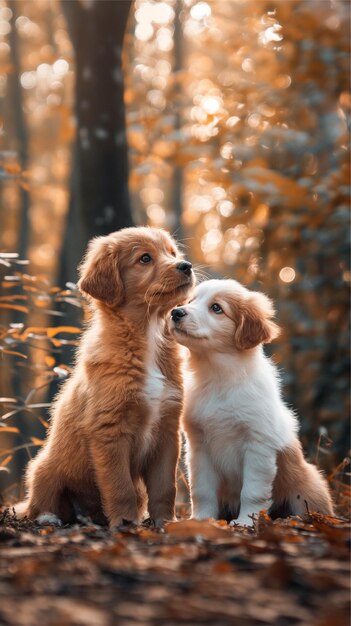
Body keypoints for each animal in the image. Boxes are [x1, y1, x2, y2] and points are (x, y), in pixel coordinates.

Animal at [17, 225, 195, 528]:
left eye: (172, 253)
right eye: (145, 258)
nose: (186, 265)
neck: (148, 334)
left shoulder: (168, 431)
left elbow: (165, 488)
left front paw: (164, 523)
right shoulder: (110, 432)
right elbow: (120, 487)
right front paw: (126, 525)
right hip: (42, 468)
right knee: (39, 501)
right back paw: (49, 518)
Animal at [172, 278, 334, 520]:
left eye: (216, 308)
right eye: (191, 301)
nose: (176, 312)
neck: (218, 377)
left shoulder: (258, 444)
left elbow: (252, 491)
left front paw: (246, 521)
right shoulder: (199, 445)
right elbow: (201, 490)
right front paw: (201, 520)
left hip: (308, 486)